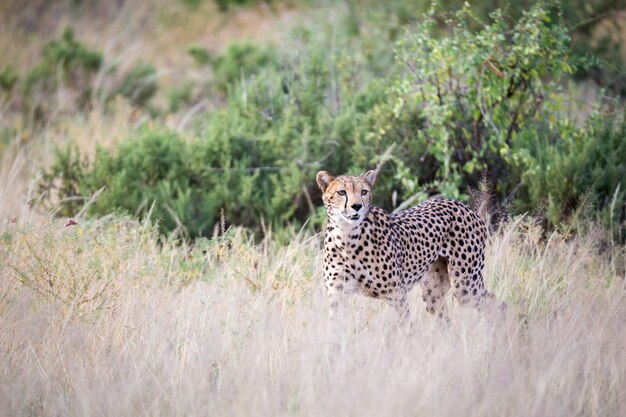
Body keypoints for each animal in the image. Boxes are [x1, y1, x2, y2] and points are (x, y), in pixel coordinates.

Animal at [314, 167, 500, 324]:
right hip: (433, 292)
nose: (357, 206)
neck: (347, 237)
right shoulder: (337, 296)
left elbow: (406, 329)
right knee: (444, 320)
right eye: (341, 192)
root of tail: (463, 206)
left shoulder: (397, 295)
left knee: (496, 303)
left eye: (364, 192)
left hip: (465, 287)